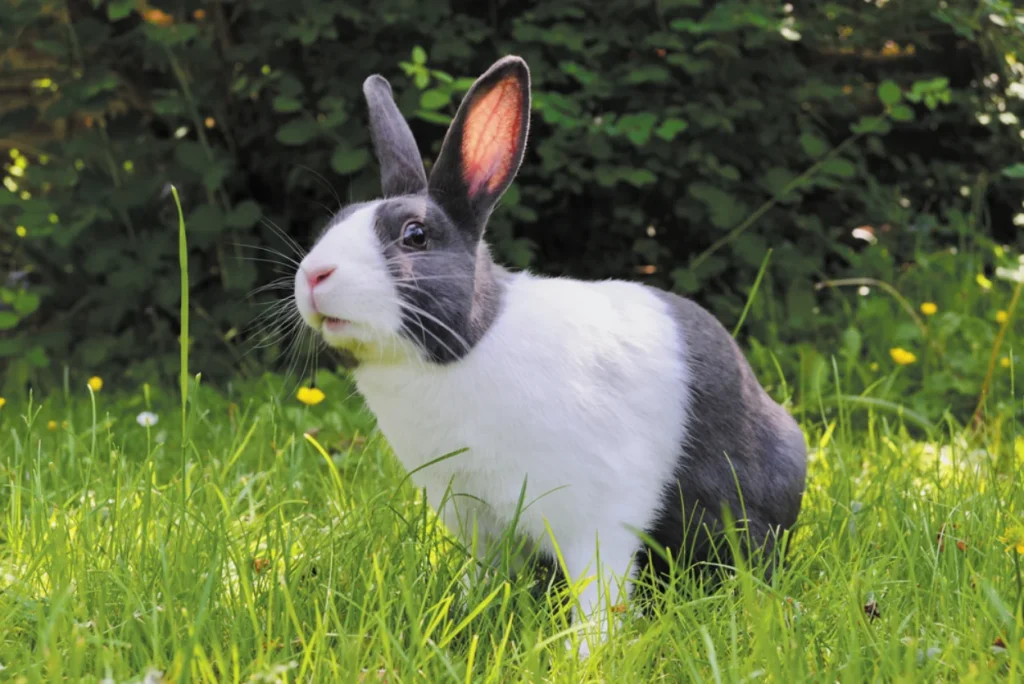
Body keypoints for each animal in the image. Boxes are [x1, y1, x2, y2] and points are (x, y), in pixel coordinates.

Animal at [293, 55, 808, 657]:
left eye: (414, 235)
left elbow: (599, 587)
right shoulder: (474, 516)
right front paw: (463, 616)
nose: (313, 275)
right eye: (337, 221)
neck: (467, 348)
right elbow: (484, 576)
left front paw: (585, 653)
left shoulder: (595, 512)